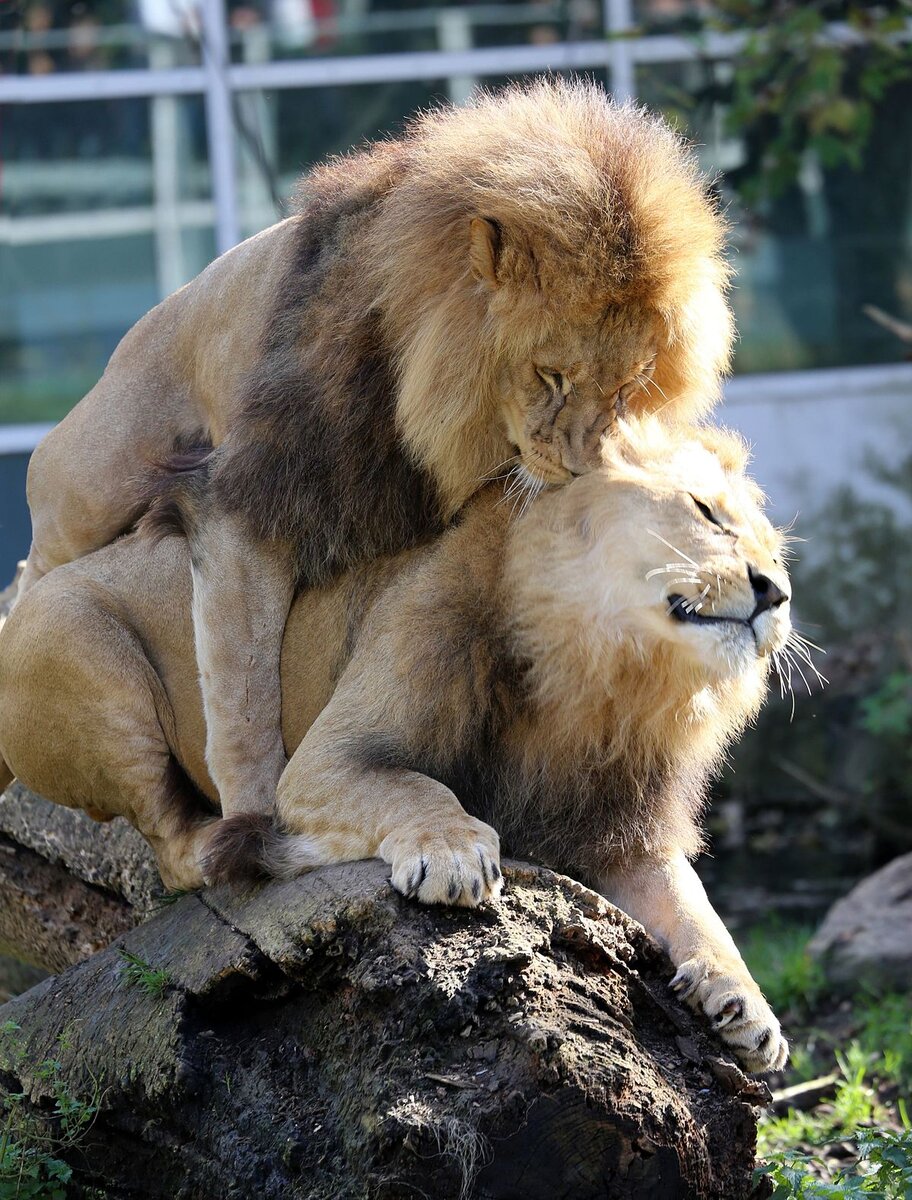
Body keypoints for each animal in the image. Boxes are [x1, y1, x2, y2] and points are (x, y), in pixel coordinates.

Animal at [0, 420, 787, 1070]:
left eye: (775, 552)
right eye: (707, 513)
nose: (776, 592)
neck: (604, 673)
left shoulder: (622, 828)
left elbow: (692, 902)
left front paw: (748, 1007)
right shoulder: (331, 756)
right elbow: (414, 785)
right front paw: (454, 853)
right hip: (81, 646)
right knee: (179, 852)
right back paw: (283, 848)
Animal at [16, 77, 734, 825]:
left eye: (629, 385)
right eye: (551, 375)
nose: (584, 466)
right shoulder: (246, 499)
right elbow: (244, 696)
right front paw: (254, 822)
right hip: (89, 490)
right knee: (34, 569)